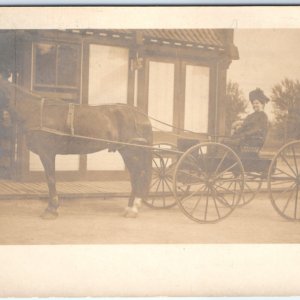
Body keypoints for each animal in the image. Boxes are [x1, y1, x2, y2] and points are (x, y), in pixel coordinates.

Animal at [0, 78, 154, 219]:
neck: (36, 111)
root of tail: (140, 114)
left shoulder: (47, 153)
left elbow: (50, 179)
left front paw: (51, 209)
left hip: (131, 152)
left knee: (138, 175)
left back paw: (134, 208)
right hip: (128, 152)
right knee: (134, 176)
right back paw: (129, 207)